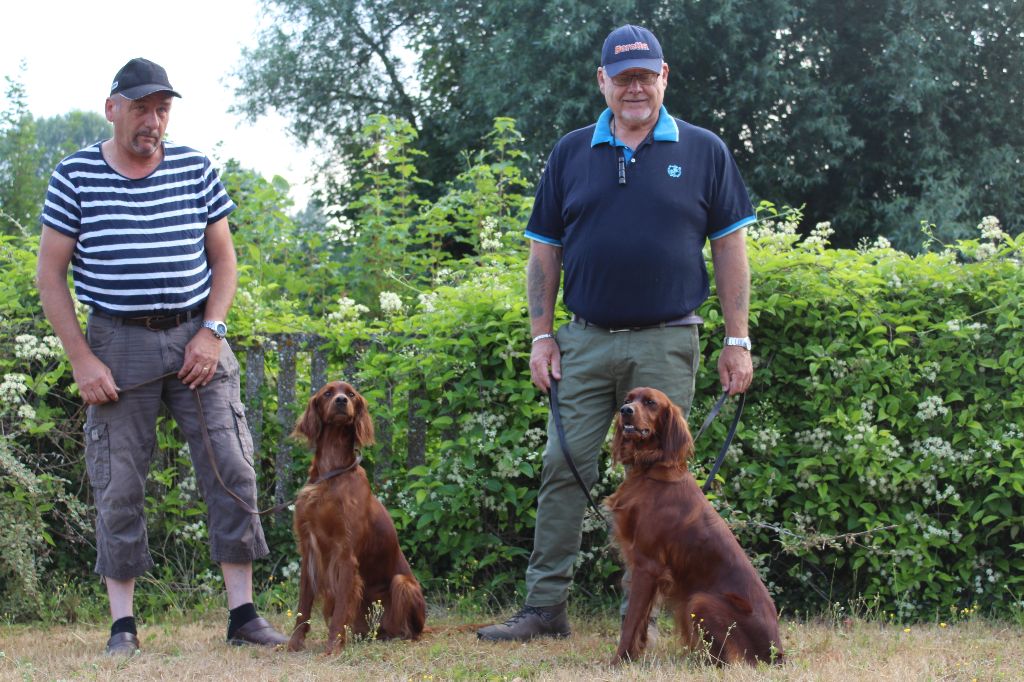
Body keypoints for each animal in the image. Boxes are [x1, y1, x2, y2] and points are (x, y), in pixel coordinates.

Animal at [286, 378, 425, 651]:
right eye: (328, 393)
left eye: (351, 394)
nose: (341, 401)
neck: (333, 473)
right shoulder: (309, 550)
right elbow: (302, 607)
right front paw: (293, 644)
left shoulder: (345, 554)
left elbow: (340, 610)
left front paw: (331, 648)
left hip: (403, 584)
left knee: (411, 630)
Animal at [606, 387, 782, 663]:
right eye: (627, 400)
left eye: (650, 402)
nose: (625, 411)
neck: (649, 470)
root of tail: (777, 652)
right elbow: (640, 623)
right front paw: (634, 656)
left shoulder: (648, 564)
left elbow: (631, 621)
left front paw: (618, 661)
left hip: (700, 601)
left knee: (727, 661)